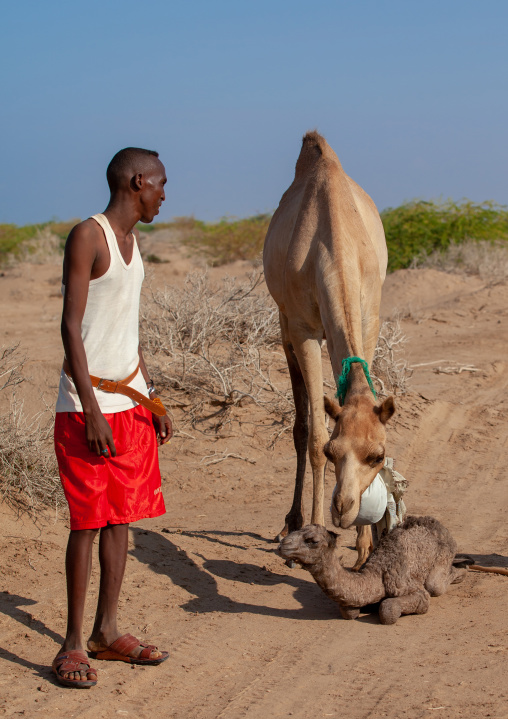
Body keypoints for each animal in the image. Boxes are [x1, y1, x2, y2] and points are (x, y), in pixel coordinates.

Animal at [263, 131, 394, 567]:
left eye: (377, 456)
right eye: (335, 452)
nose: (343, 508)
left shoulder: (370, 317)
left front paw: (367, 546)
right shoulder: (302, 329)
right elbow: (314, 434)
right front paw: (312, 536)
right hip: (285, 326)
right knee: (301, 425)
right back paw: (291, 522)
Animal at [279, 517, 467, 624]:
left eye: (312, 541)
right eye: (296, 530)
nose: (283, 545)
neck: (377, 576)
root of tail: (439, 526)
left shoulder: (412, 589)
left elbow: (388, 609)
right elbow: (349, 611)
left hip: (446, 552)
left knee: (436, 585)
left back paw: (462, 569)